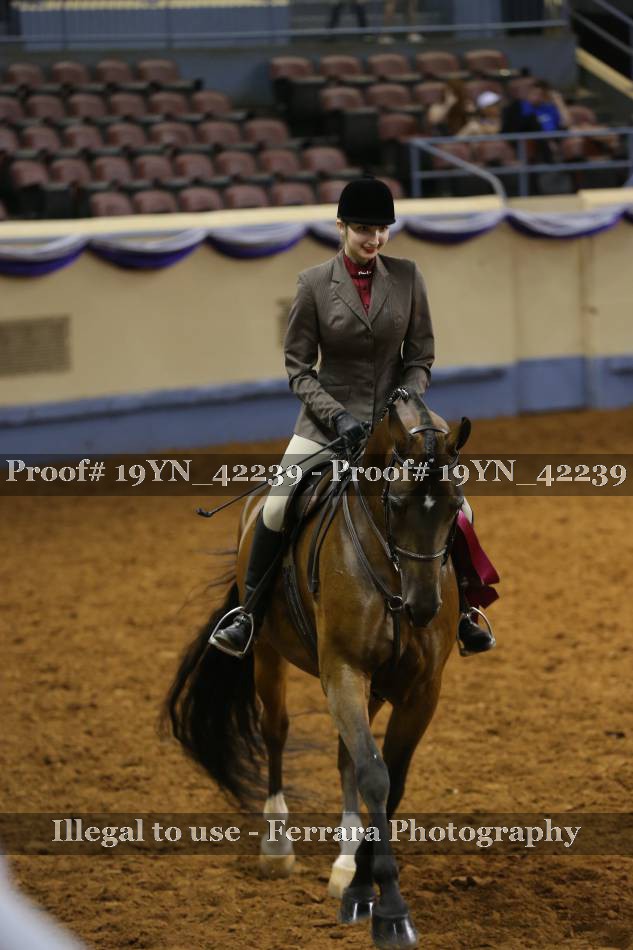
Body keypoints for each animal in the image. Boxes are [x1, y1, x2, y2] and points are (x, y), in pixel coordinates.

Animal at [164, 390, 471, 949]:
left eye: (455, 506)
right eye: (396, 502)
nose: (423, 607)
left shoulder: (420, 690)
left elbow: (389, 779)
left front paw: (360, 883)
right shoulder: (343, 671)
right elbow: (375, 775)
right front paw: (387, 908)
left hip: (373, 687)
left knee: (346, 755)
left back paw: (346, 861)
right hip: (267, 653)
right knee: (276, 732)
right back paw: (277, 848)